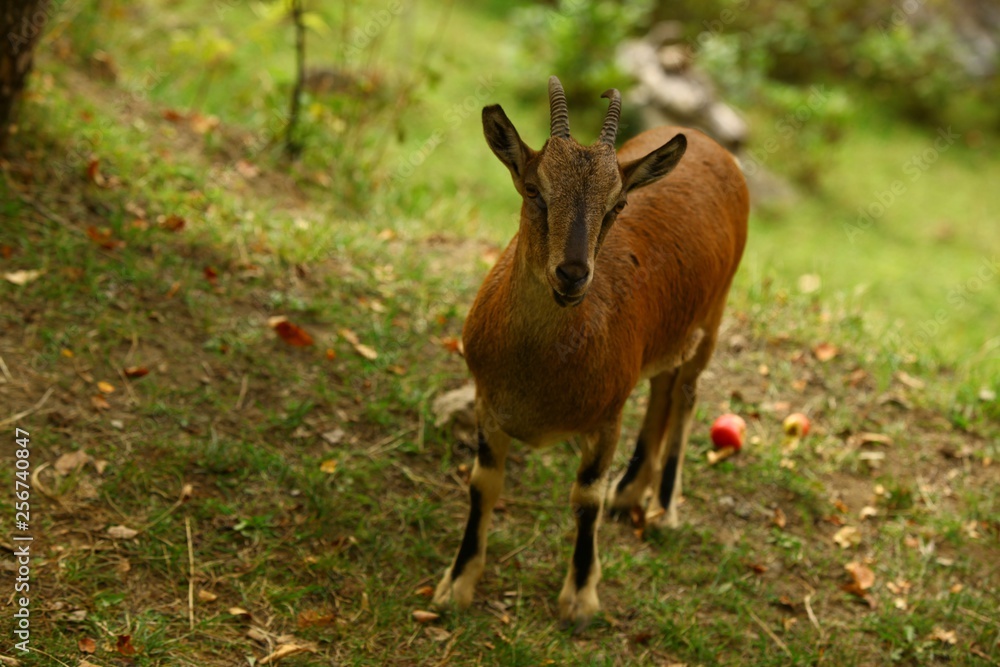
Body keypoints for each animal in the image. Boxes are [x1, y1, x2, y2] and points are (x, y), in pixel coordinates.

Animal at [432, 76, 749, 629]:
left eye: (617, 205)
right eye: (533, 189)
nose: (572, 274)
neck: (537, 373)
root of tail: (712, 147)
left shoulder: (606, 419)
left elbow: (585, 498)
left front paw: (580, 598)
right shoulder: (488, 403)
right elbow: (483, 483)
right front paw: (457, 585)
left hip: (713, 316)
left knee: (686, 393)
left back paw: (663, 510)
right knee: (663, 385)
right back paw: (630, 493)